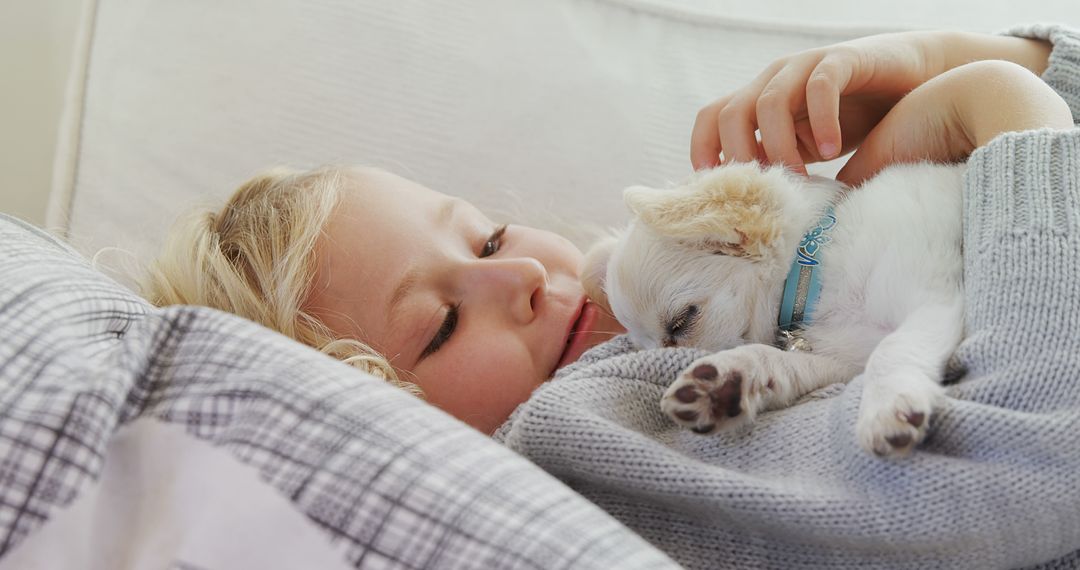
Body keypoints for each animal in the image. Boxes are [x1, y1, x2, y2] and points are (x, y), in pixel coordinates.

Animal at [587, 163, 967, 455]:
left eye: (682, 322)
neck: (817, 277)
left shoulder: (933, 298)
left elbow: (892, 348)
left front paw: (889, 402)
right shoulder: (845, 356)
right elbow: (779, 358)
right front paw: (729, 379)